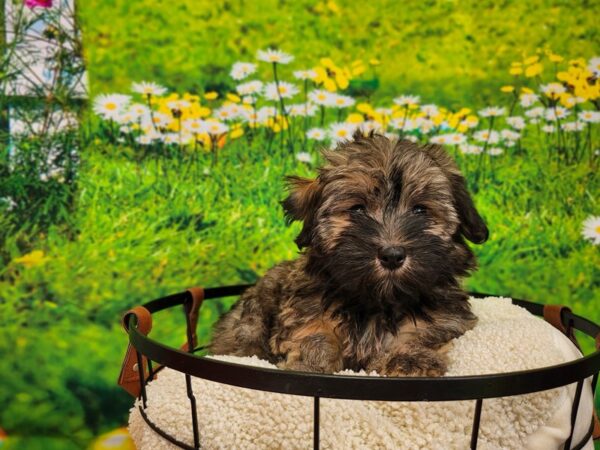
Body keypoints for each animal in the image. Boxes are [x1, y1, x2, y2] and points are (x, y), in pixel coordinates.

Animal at [210, 133, 488, 376]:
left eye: (420, 210)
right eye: (357, 210)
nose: (392, 254)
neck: (377, 301)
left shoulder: (446, 317)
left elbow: (424, 330)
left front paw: (411, 359)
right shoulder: (305, 310)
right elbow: (313, 334)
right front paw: (312, 364)